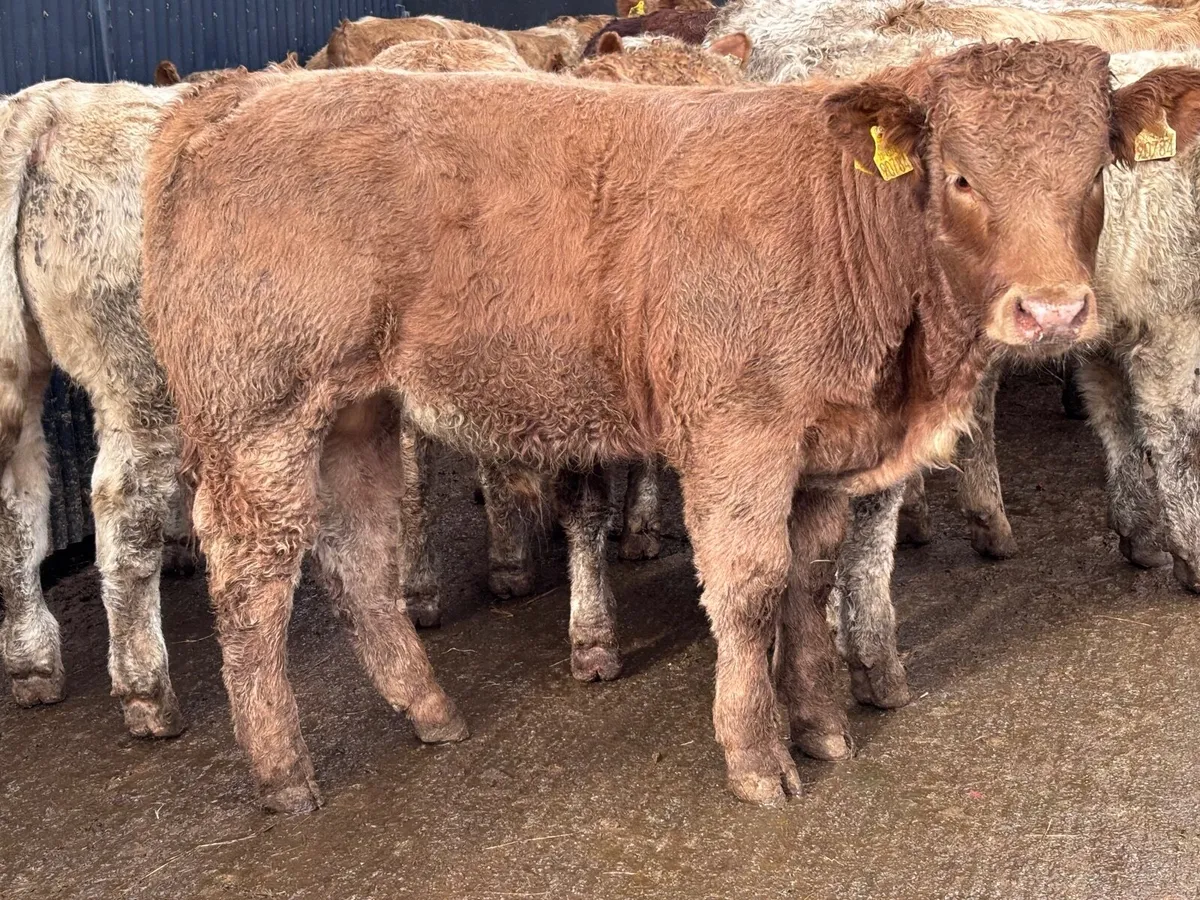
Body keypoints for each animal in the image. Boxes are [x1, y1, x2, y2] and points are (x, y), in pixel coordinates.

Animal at [140, 40, 1192, 812]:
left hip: (357, 412)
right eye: (964, 178)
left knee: (358, 557)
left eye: (1094, 170)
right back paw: (283, 775)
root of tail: (239, 93)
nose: (1052, 311)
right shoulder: (739, 436)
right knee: (254, 577)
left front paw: (822, 723)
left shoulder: (820, 449)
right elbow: (750, 587)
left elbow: (809, 578)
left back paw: (430, 711)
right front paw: (757, 757)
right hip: (258, 415)